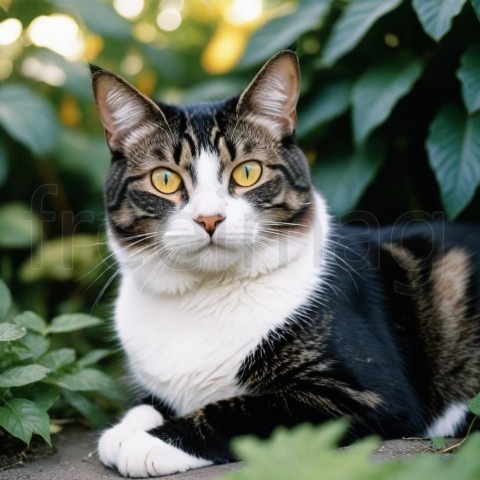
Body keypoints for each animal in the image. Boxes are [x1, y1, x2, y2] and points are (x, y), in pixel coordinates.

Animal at [90, 48, 480, 476]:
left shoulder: (370, 395)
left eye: (248, 172)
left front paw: (148, 443)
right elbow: (146, 402)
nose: (209, 218)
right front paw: (122, 431)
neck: (203, 296)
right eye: (164, 179)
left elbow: (241, 409)